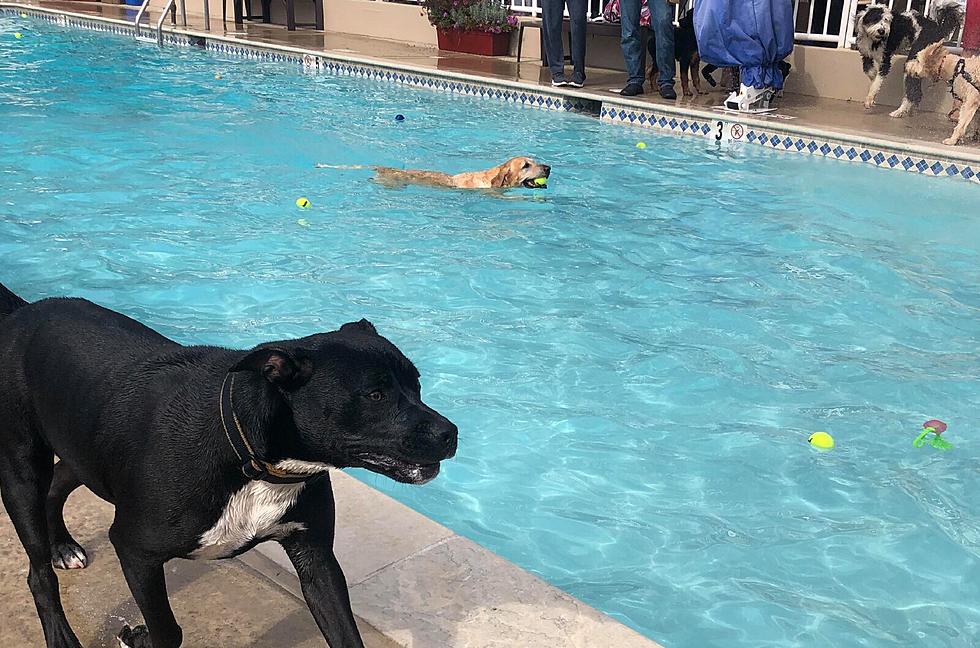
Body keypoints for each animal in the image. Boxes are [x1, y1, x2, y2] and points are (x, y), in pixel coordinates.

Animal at [0, 284, 460, 648]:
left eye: (417, 385)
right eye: (376, 395)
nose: (451, 433)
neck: (251, 459)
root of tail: (24, 312)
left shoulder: (316, 558)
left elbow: (346, 632)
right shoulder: (135, 549)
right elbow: (168, 631)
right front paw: (142, 636)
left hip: (83, 449)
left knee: (59, 482)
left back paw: (62, 544)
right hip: (21, 471)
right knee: (39, 575)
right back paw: (60, 630)